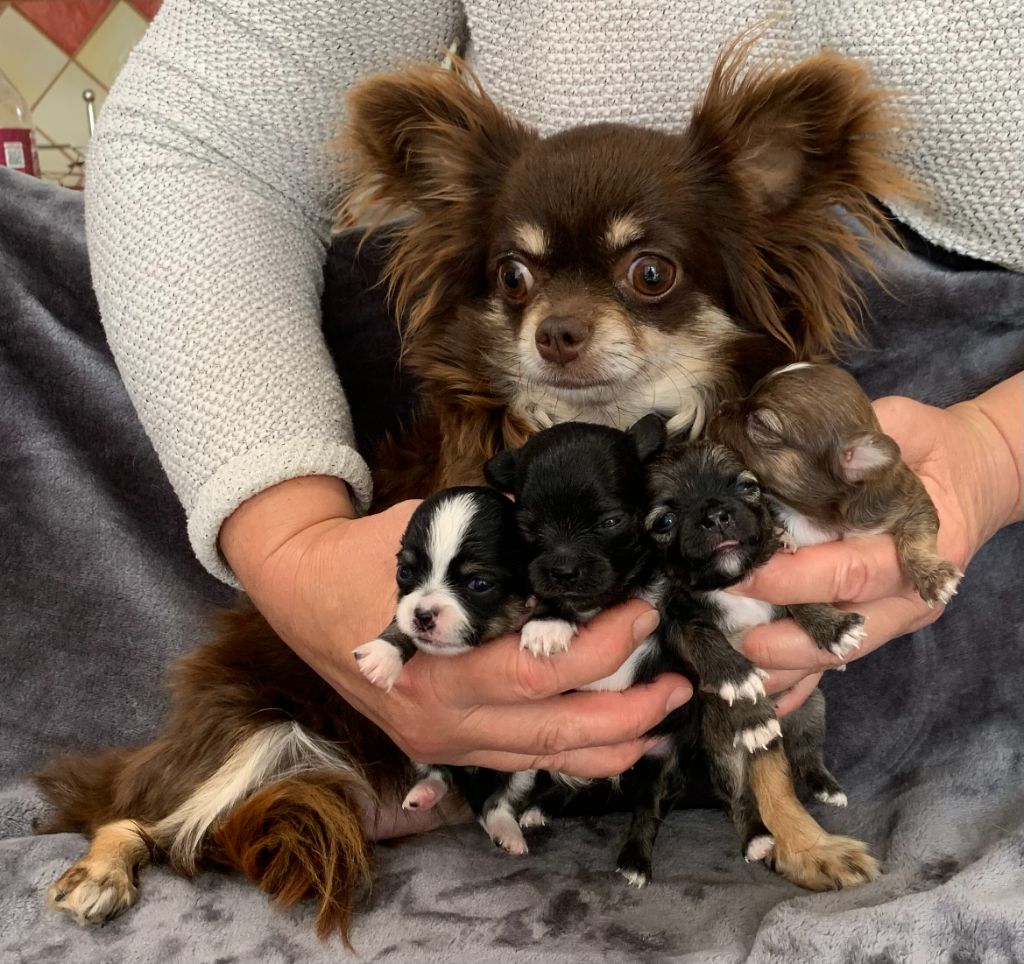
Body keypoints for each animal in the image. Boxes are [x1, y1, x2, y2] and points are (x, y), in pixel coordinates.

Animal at [645, 437, 880, 887]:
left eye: (748, 487)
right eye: (664, 520)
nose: (715, 515)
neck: (730, 583)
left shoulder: (780, 586)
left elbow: (800, 599)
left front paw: (834, 628)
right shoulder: (678, 619)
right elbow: (705, 640)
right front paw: (740, 684)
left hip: (812, 708)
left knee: (806, 752)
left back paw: (825, 786)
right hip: (722, 746)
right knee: (737, 794)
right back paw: (755, 837)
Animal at [706, 362, 963, 606]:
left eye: (760, 422)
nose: (719, 408)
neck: (815, 516)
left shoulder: (908, 502)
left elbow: (916, 534)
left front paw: (934, 576)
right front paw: (782, 538)